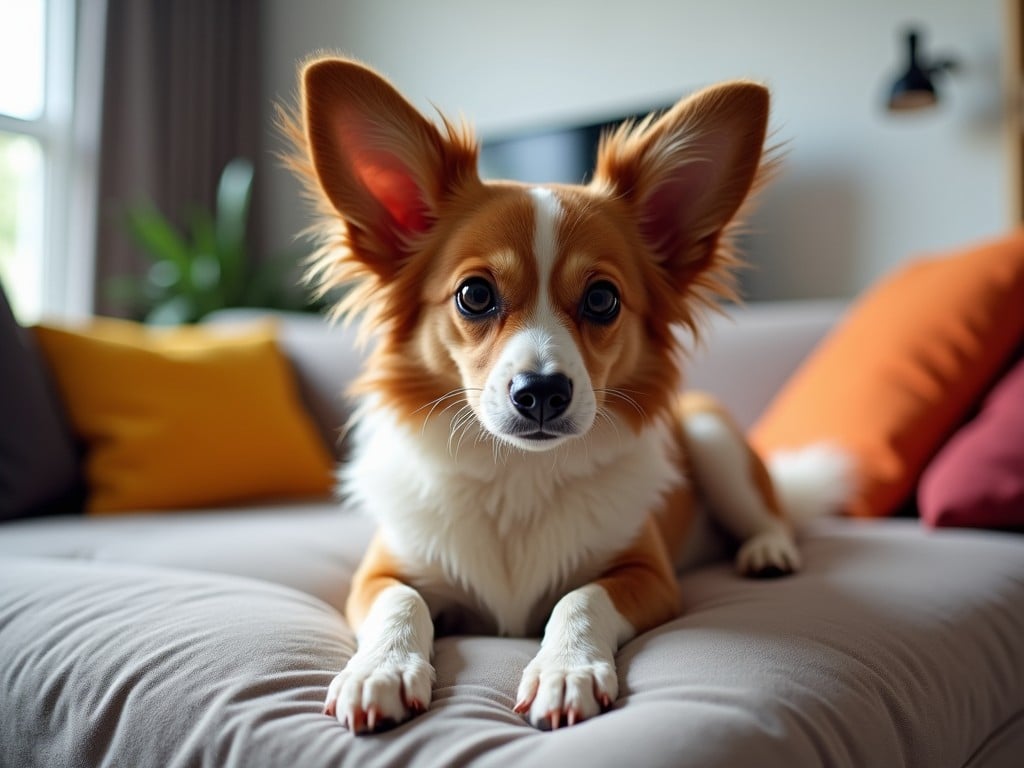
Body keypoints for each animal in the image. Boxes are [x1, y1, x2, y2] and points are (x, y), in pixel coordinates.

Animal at [280, 55, 847, 733]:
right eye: (474, 294)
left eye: (602, 299)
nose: (542, 391)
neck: (517, 476)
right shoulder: (377, 574)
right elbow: (401, 602)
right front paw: (381, 669)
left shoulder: (651, 577)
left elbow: (580, 596)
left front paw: (565, 668)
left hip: (713, 438)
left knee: (773, 515)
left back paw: (766, 551)